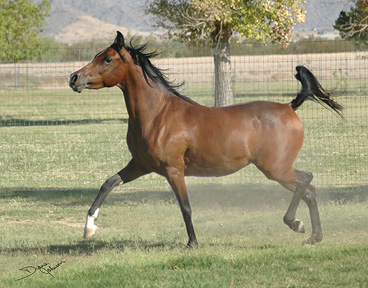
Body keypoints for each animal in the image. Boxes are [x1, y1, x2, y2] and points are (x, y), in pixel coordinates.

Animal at [70, 31, 344, 248]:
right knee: (309, 191)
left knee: (306, 180)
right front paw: (88, 228)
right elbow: (108, 183)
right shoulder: (139, 165)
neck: (159, 115)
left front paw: (192, 243)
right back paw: (312, 237)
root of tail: (289, 107)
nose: (74, 78)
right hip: (278, 170)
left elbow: (185, 207)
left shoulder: (174, 170)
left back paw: (295, 223)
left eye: (107, 59)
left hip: (276, 169)